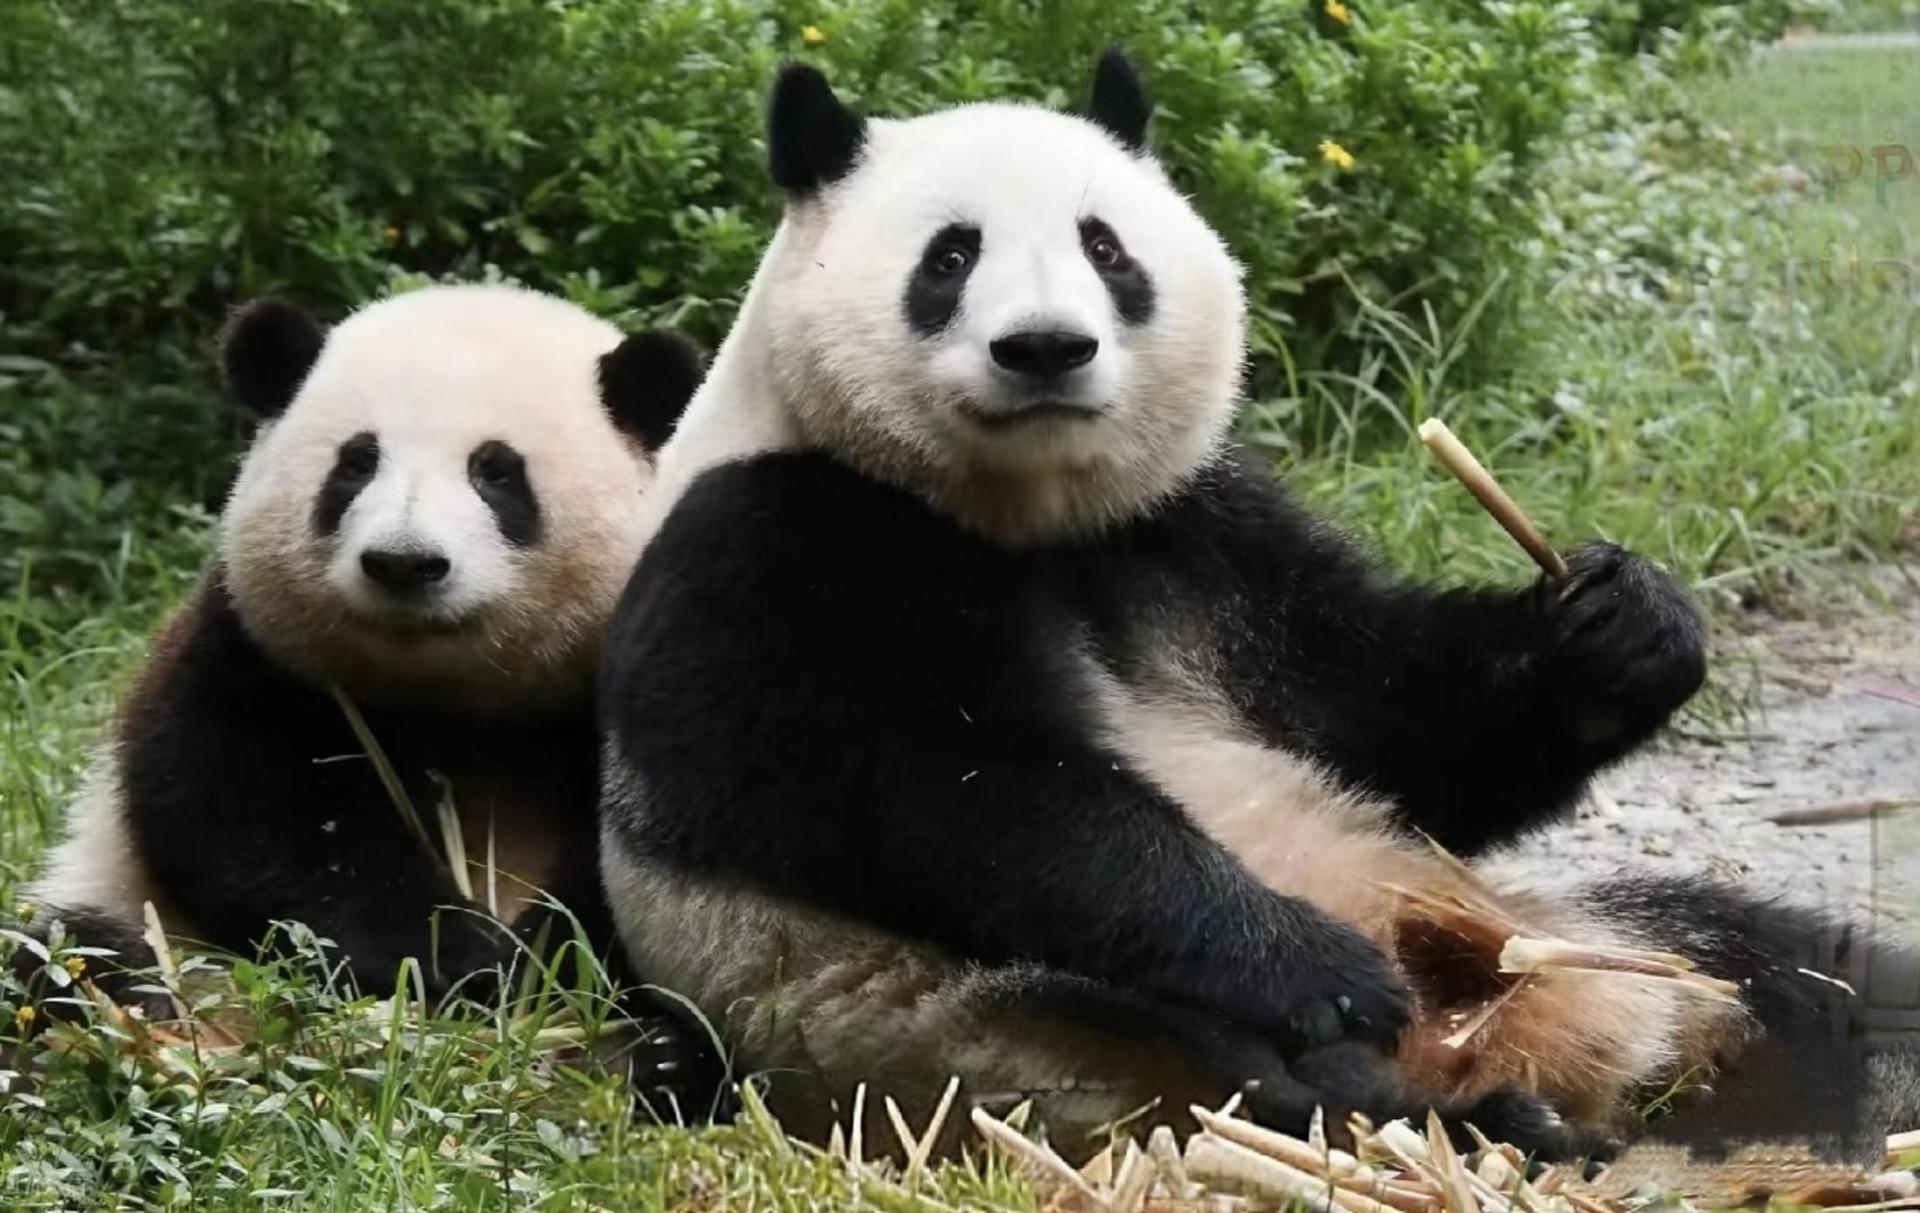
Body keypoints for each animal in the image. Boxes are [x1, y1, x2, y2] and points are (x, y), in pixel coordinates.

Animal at [16, 284, 706, 1031]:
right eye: (356, 462)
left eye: (496, 471)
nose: (404, 562)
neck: (455, 701)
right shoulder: (255, 650)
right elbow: (245, 804)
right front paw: (455, 956)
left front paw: (542, 961)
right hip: (120, 898)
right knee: (68, 952)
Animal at [597, 55, 1916, 1165]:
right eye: (950, 257)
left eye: (1106, 249)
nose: (1046, 348)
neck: (1027, 513)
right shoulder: (769, 537)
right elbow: (916, 786)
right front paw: (1318, 966)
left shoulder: (1197, 531)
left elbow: (1384, 716)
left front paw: (1622, 632)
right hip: (977, 1021)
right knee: (1232, 1066)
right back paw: (1481, 1113)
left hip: (1611, 927)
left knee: (1812, 970)